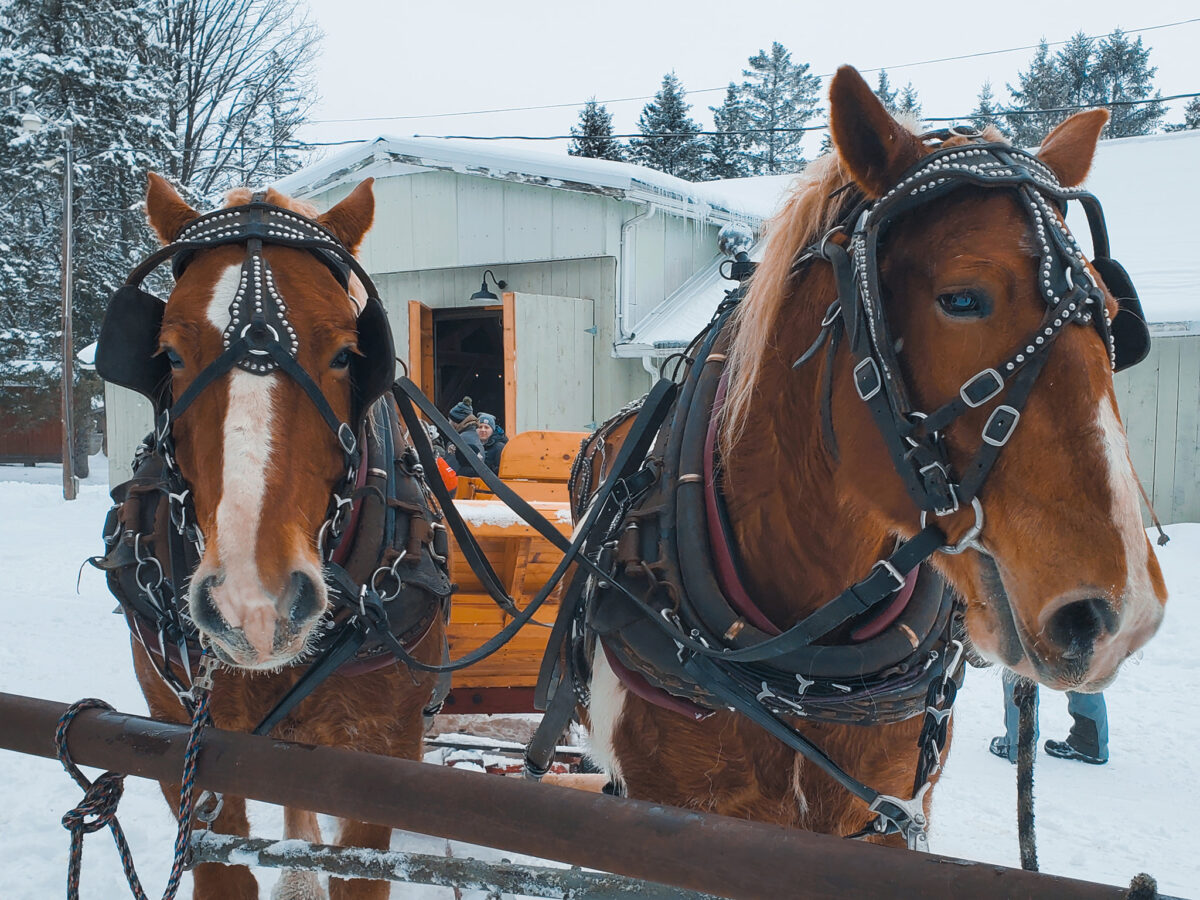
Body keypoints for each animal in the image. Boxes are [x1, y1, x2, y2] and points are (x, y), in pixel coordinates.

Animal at [569, 66, 1168, 846]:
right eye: (962, 298)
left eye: (1111, 312)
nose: (1120, 617)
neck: (797, 663)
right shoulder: (666, 804)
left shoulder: (884, 813)